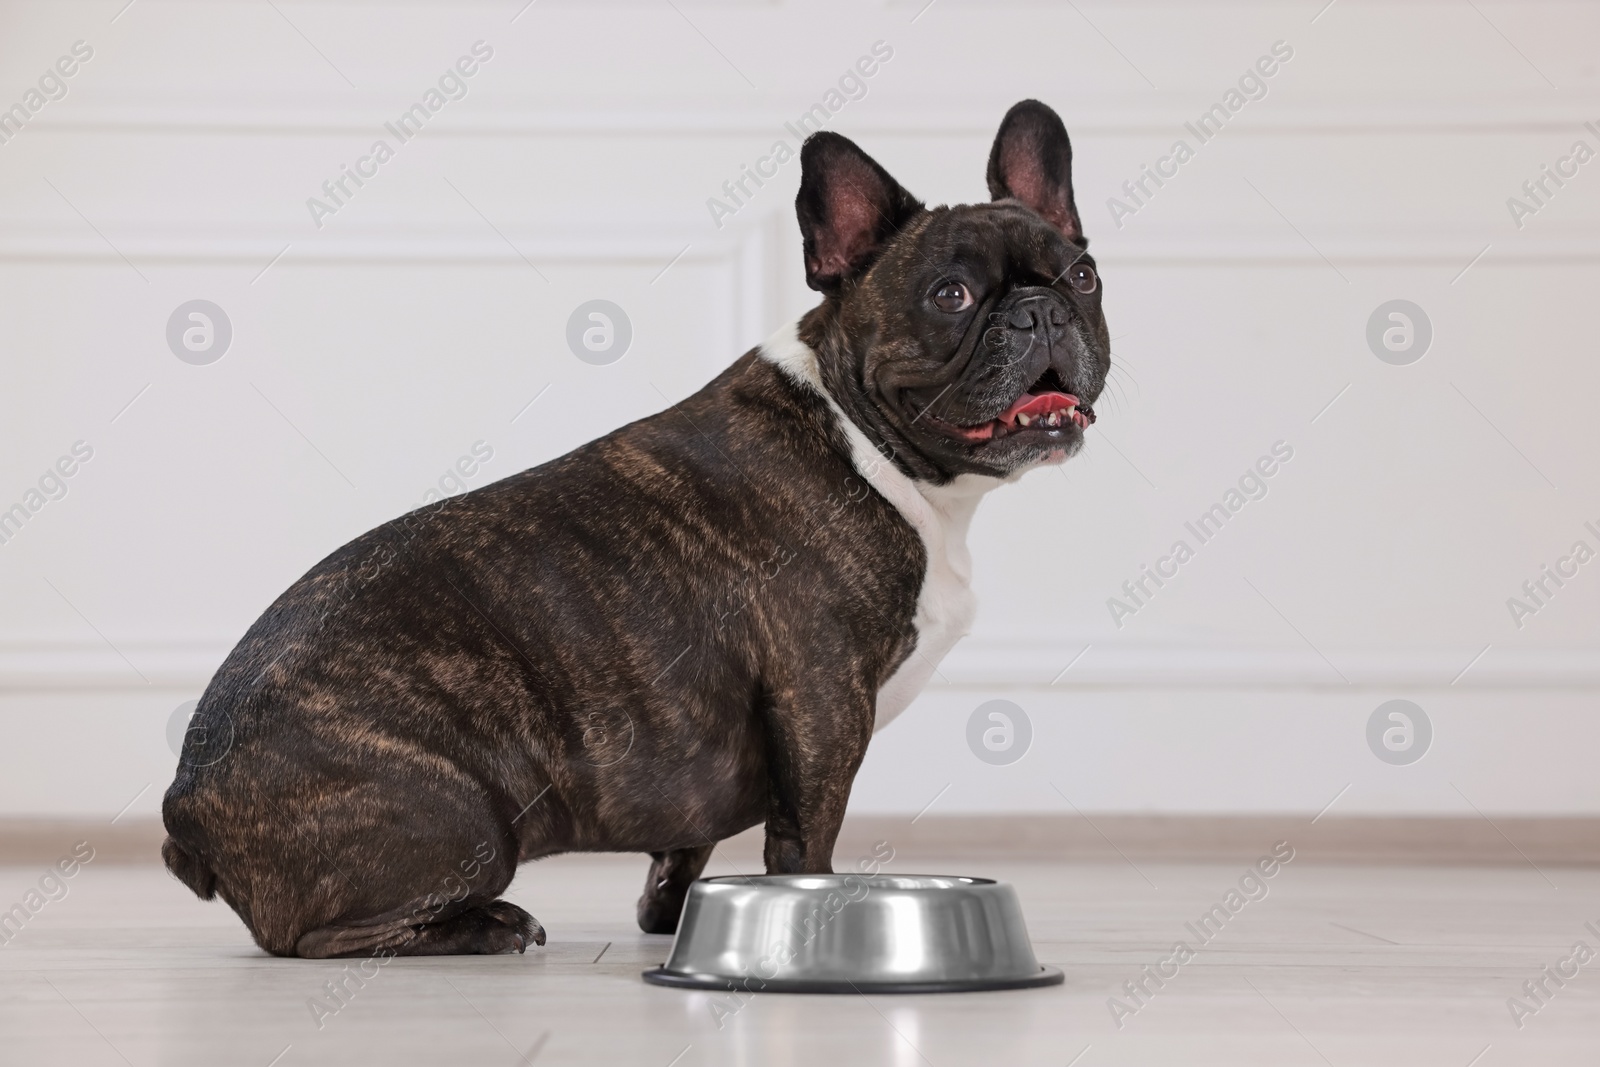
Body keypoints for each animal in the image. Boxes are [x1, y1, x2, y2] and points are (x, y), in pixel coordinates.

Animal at [165, 99, 1113, 959]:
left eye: (1083, 277)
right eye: (951, 294)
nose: (1041, 310)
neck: (873, 443)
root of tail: (185, 802)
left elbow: (687, 839)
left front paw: (671, 914)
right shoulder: (822, 702)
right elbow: (807, 834)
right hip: (465, 817)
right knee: (321, 937)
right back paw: (484, 926)